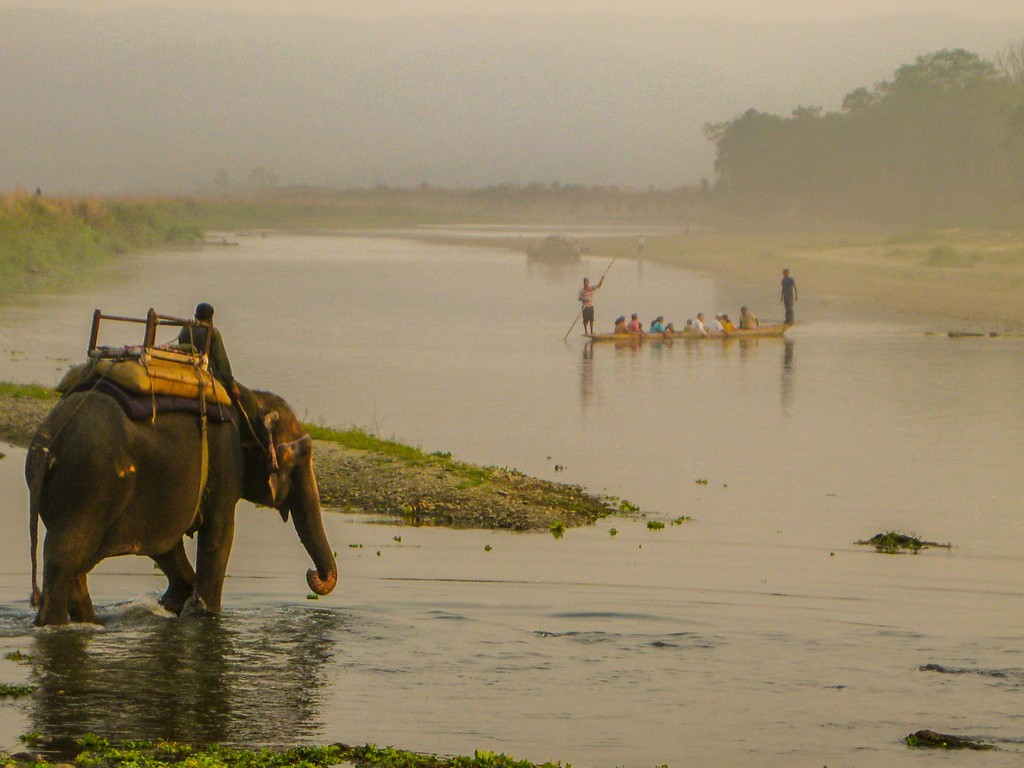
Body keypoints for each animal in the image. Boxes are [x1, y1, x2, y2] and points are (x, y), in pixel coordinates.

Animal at [25, 382, 337, 626]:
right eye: (305, 453)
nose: (312, 575)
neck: (247, 398)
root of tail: (46, 443)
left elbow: (167, 545)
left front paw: (176, 602)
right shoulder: (226, 458)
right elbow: (219, 534)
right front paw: (205, 614)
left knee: (72, 566)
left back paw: (91, 622)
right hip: (89, 487)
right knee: (66, 558)